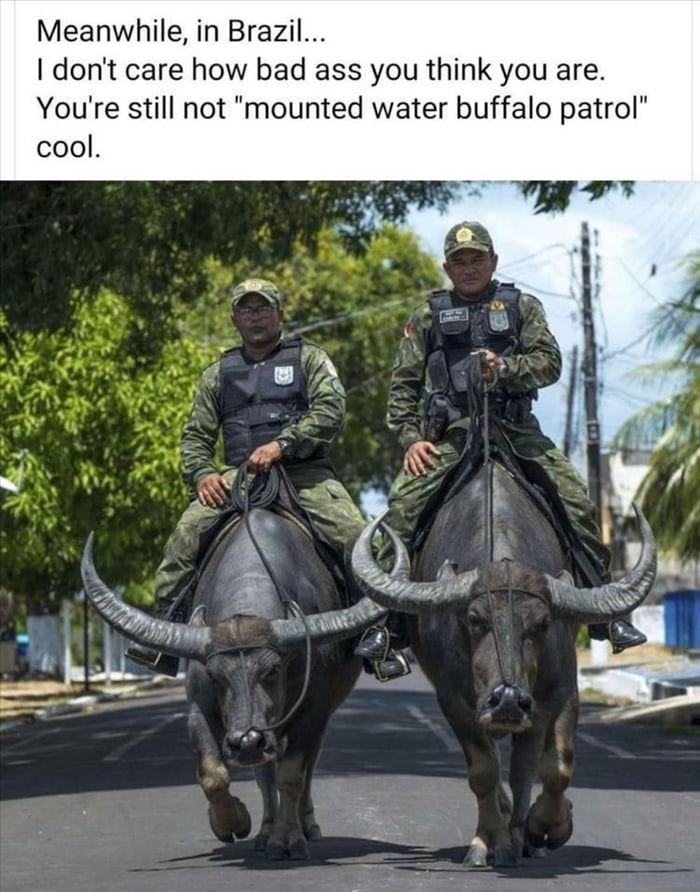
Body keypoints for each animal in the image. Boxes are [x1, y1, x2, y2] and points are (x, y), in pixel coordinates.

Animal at [84, 506, 388, 860]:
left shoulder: (312, 712)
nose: (247, 741)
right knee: (263, 772)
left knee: (305, 769)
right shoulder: (200, 708)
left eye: (273, 670)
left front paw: (289, 840)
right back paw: (265, 830)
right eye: (217, 675)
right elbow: (212, 774)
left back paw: (305, 826)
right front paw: (234, 823)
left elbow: (292, 775)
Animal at [352, 464, 660, 868]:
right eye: (474, 619)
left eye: (542, 623)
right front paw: (490, 842)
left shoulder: (559, 692)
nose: (509, 700)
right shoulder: (455, 701)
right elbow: (484, 770)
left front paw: (544, 828)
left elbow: (552, 768)